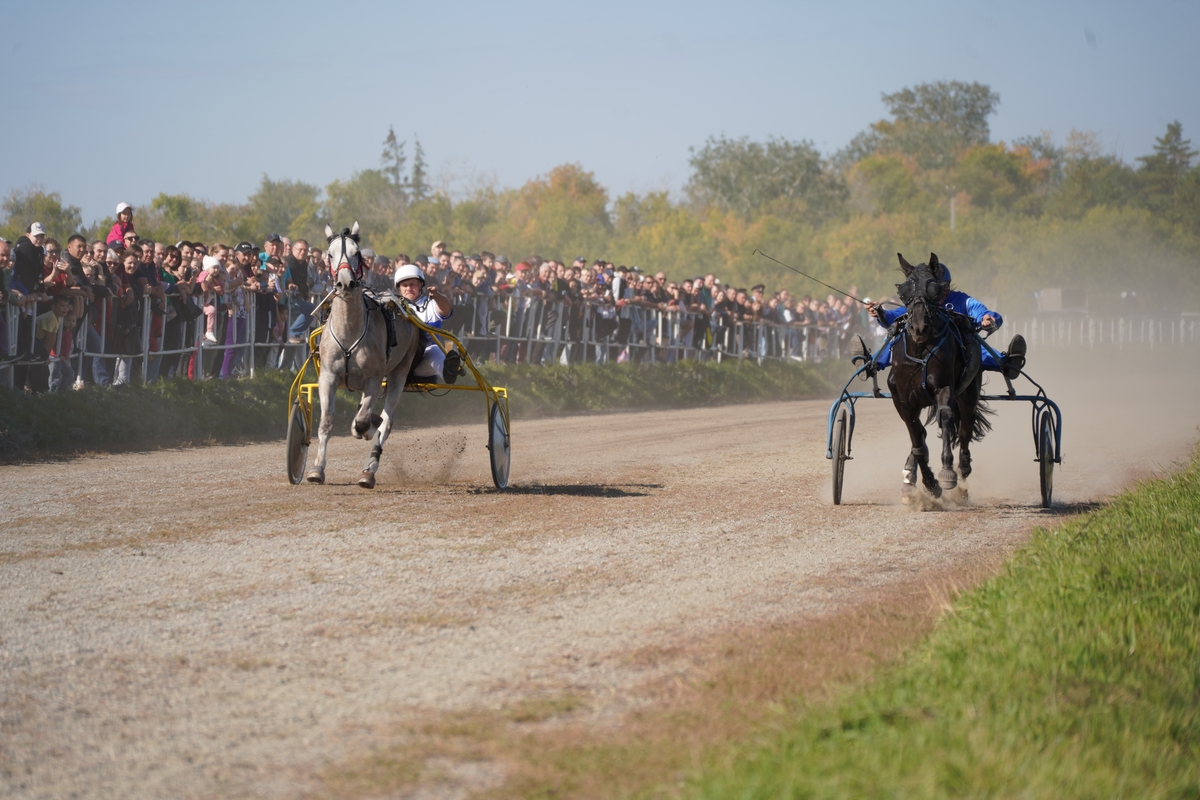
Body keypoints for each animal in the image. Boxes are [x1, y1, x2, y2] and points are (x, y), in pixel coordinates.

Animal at [304, 221, 422, 491]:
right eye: (329, 254)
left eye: (357, 253)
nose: (345, 283)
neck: (350, 331)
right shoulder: (328, 377)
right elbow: (326, 422)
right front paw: (316, 469)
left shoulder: (374, 379)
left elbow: (363, 421)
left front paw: (365, 431)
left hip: (399, 372)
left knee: (385, 421)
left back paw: (369, 470)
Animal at [888, 253, 988, 496]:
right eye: (903, 292)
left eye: (934, 289)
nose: (918, 328)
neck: (919, 352)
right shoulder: (905, 400)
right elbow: (915, 435)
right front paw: (929, 482)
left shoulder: (944, 388)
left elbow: (946, 417)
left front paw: (946, 473)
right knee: (920, 435)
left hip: (969, 392)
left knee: (965, 426)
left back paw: (963, 470)